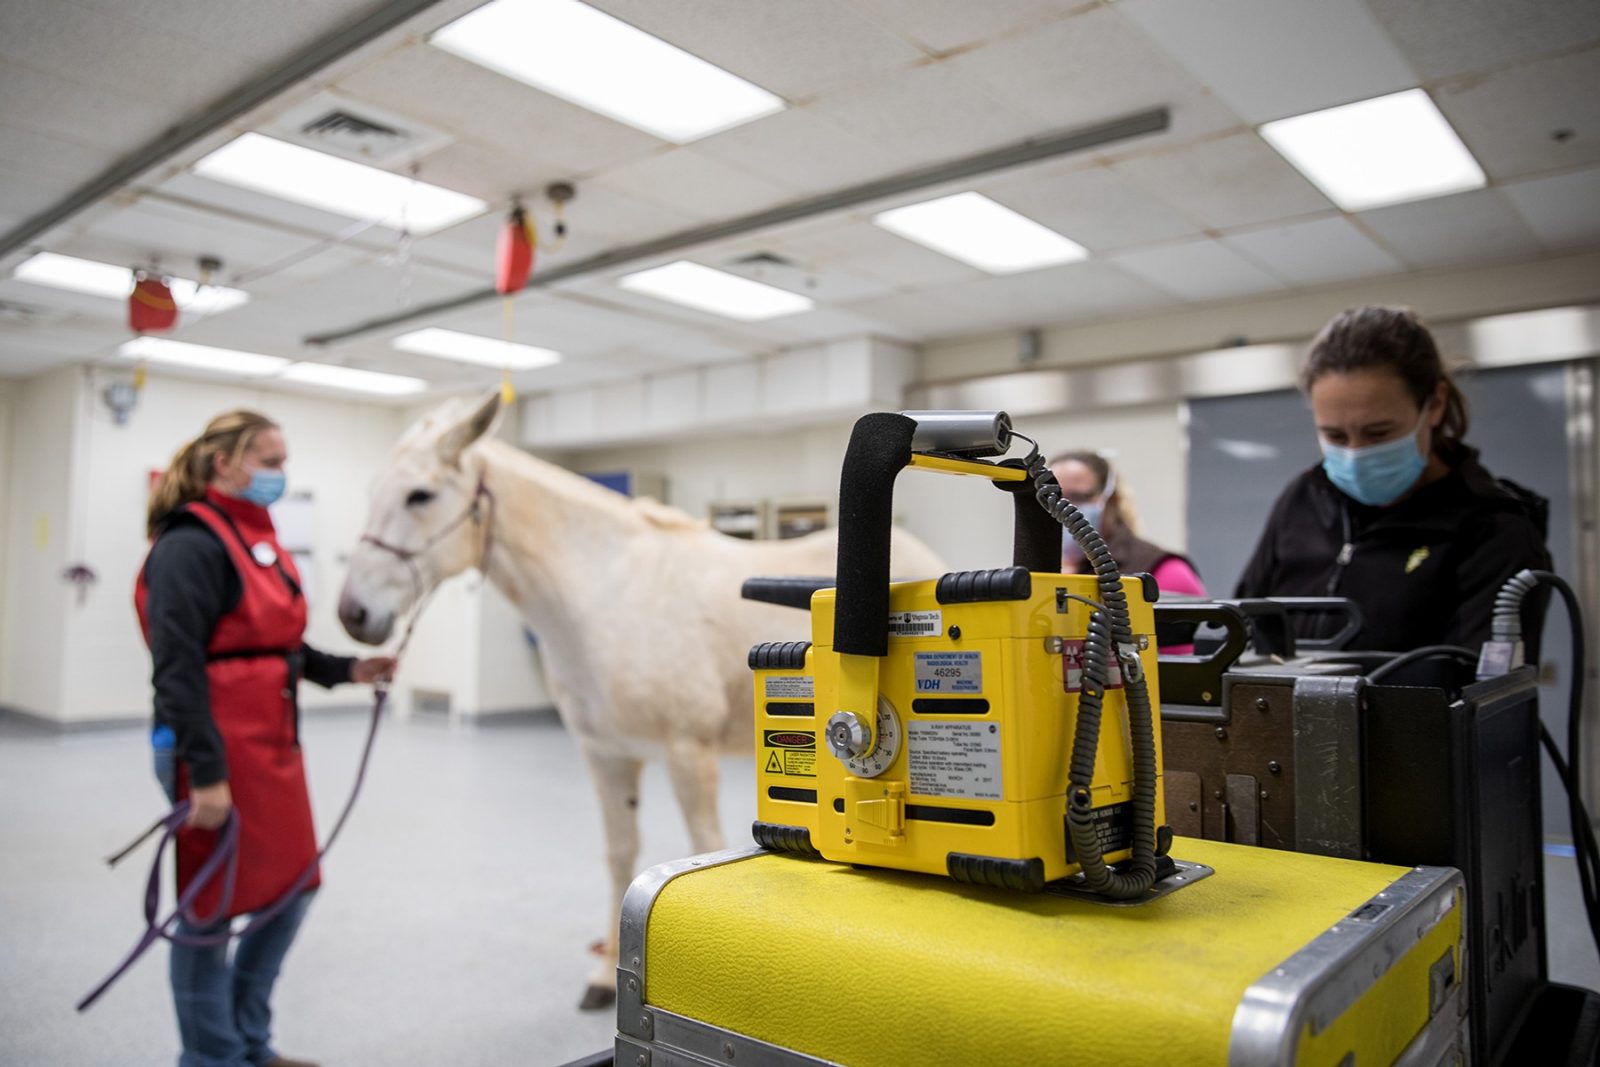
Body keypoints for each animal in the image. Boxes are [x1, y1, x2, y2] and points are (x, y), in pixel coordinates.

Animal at [334, 391, 934, 1011]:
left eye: (420, 495)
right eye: (373, 491)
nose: (353, 614)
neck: (608, 596)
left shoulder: (688, 753)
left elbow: (704, 846)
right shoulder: (606, 754)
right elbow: (621, 852)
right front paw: (603, 976)